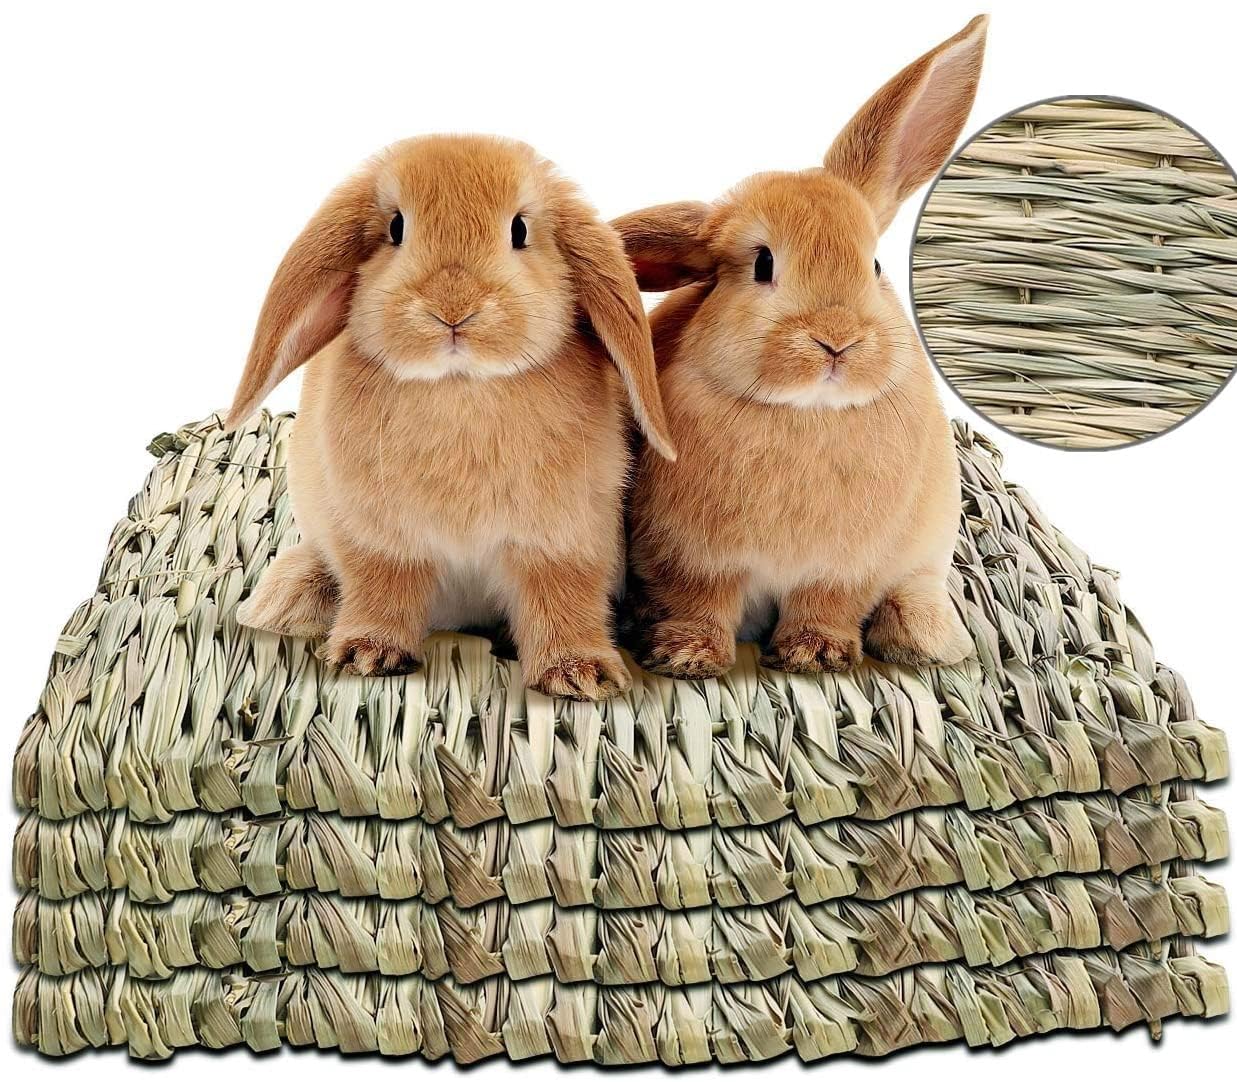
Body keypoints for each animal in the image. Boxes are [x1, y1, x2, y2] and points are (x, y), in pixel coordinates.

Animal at [226, 134, 676, 699]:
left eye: (519, 230)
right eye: (396, 228)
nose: (453, 308)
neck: (460, 386)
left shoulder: (566, 538)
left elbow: (562, 595)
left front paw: (581, 674)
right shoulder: (381, 539)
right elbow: (382, 588)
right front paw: (368, 654)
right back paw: (285, 599)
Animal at [613, 16, 988, 679]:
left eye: (875, 265)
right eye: (762, 264)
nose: (837, 339)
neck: (807, 414)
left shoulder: (844, 568)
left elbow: (826, 602)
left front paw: (816, 653)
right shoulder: (692, 559)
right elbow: (699, 603)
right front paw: (686, 656)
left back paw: (924, 637)